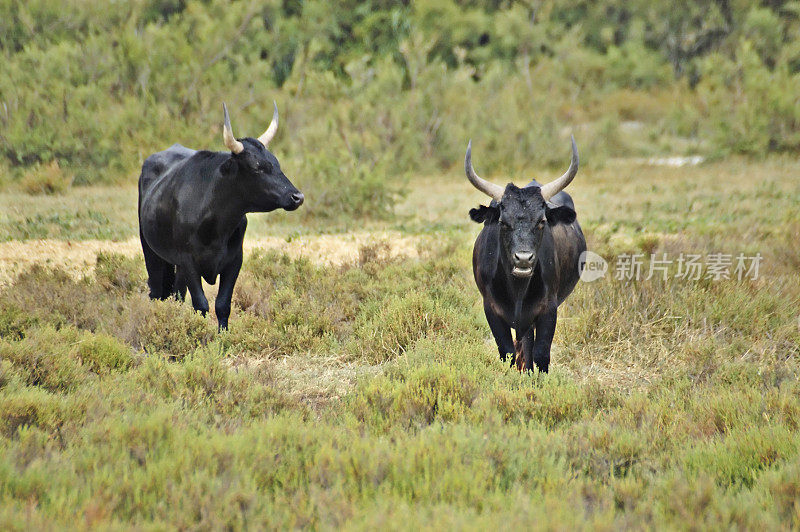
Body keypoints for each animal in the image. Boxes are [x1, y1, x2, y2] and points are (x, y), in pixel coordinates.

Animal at [138, 101, 304, 328]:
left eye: (277, 163)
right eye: (257, 168)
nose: (297, 196)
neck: (215, 224)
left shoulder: (234, 261)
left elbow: (223, 305)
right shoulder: (188, 261)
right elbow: (201, 305)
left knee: (177, 295)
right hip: (151, 252)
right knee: (156, 292)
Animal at [466, 137, 584, 370]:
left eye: (541, 221)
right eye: (503, 222)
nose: (523, 259)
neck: (517, 289)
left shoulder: (548, 310)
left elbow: (541, 354)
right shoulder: (491, 310)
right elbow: (508, 353)